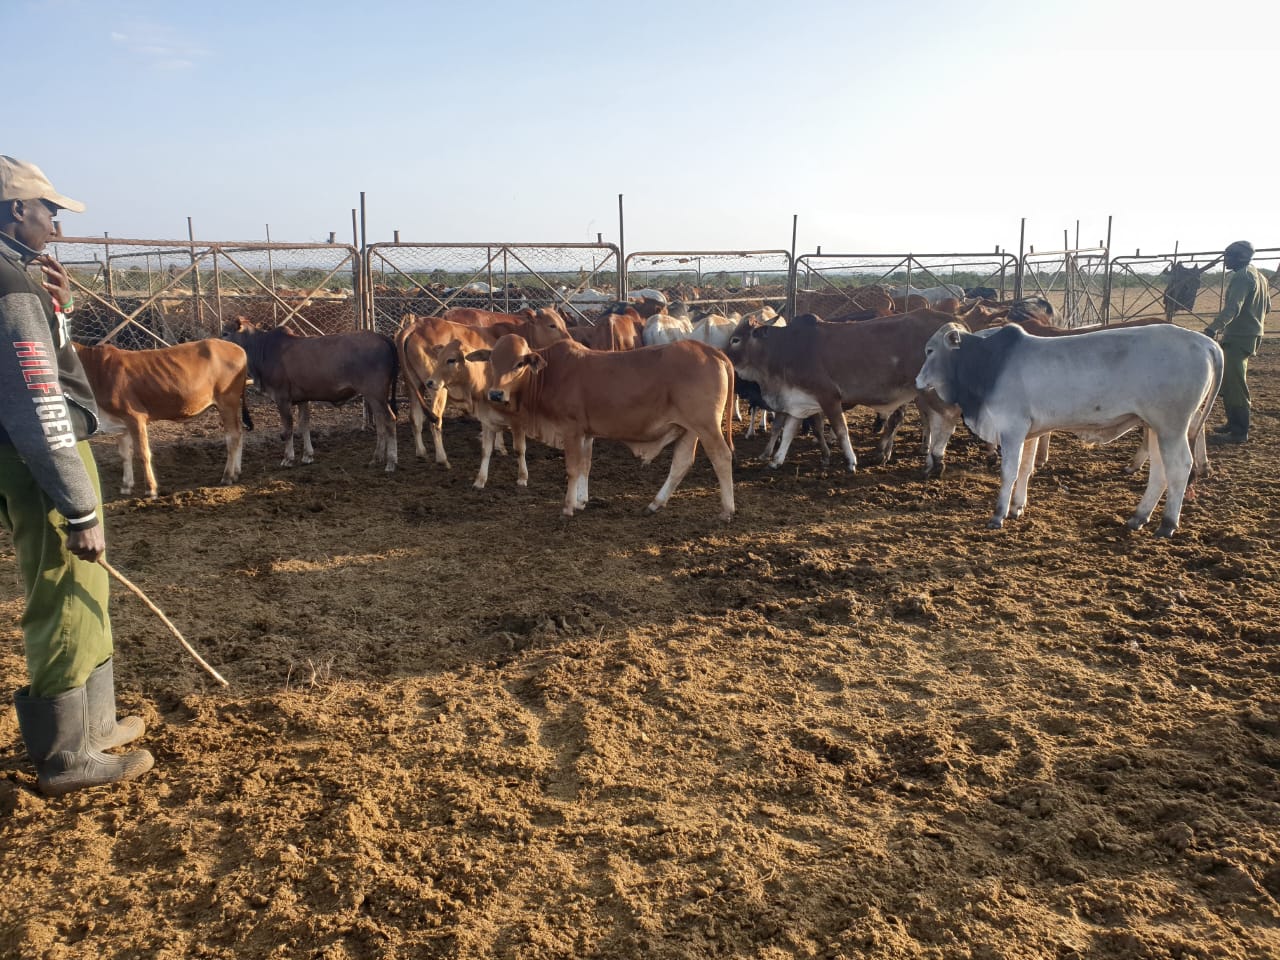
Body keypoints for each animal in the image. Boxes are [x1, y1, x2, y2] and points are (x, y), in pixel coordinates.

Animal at [74, 339, 253, 499]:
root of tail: (238, 349)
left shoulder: (134, 417)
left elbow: (143, 453)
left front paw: (150, 489)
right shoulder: (120, 423)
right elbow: (125, 454)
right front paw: (126, 486)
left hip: (227, 402)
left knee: (232, 436)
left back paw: (227, 476)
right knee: (239, 432)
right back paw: (236, 472)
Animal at [223, 317, 399, 471]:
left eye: (225, 333)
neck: (262, 350)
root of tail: (382, 337)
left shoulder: (282, 398)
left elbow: (288, 428)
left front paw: (288, 459)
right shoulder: (302, 398)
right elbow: (304, 424)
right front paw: (308, 456)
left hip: (375, 393)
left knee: (389, 419)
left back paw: (391, 462)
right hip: (374, 396)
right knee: (381, 422)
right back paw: (376, 458)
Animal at [468, 334, 736, 520]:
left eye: (519, 363)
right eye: (492, 361)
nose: (495, 394)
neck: (549, 373)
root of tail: (711, 351)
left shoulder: (571, 430)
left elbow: (573, 469)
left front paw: (568, 507)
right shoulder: (587, 434)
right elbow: (585, 466)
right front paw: (581, 501)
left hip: (706, 426)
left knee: (721, 457)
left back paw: (727, 509)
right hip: (688, 429)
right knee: (681, 463)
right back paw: (655, 504)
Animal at [722, 311, 961, 475]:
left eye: (735, 339)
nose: (723, 355)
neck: (784, 350)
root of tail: (954, 323)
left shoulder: (829, 397)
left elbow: (840, 430)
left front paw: (850, 462)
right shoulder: (798, 401)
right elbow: (789, 431)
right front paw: (775, 460)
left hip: (931, 392)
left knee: (947, 420)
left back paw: (935, 461)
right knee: (933, 422)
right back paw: (926, 460)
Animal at [914, 322, 1223, 537]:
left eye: (930, 350)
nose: (917, 380)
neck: (988, 362)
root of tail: (1204, 342)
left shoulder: (1012, 429)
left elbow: (1009, 473)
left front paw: (998, 515)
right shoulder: (1030, 433)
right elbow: (1026, 469)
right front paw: (1017, 508)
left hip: (1172, 427)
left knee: (1180, 467)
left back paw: (1167, 524)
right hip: (1155, 427)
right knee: (1159, 472)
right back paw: (1138, 517)